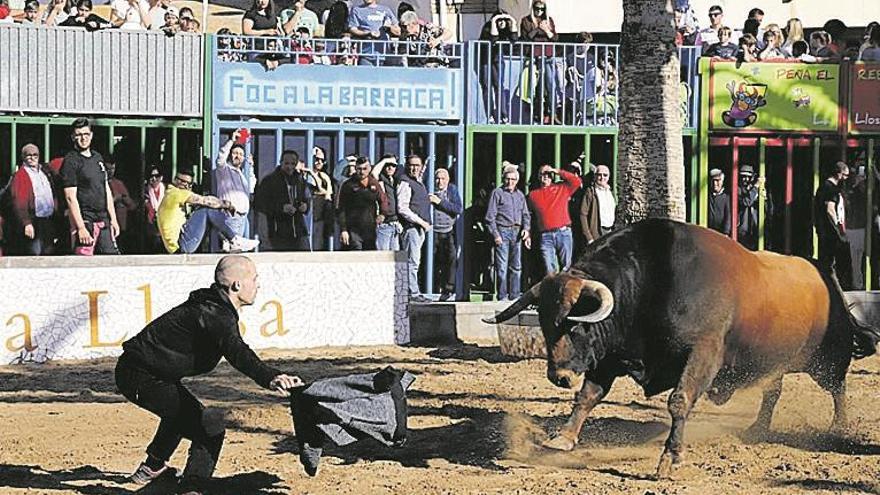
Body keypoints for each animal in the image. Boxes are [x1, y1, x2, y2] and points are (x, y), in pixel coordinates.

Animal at [484, 219, 876, 478]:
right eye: (546, 322)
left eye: (576, 323)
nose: (559, 376)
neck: (650, 281)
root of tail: (825, 273)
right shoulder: (609, 357)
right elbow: (588, 397)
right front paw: (563, 439)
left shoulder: (702, 354)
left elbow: (679, 400)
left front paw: (670, 459)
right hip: (771, 365)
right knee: (772, 391)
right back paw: (758, 427)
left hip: (829, 359)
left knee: (838, 387)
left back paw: (839, 426)